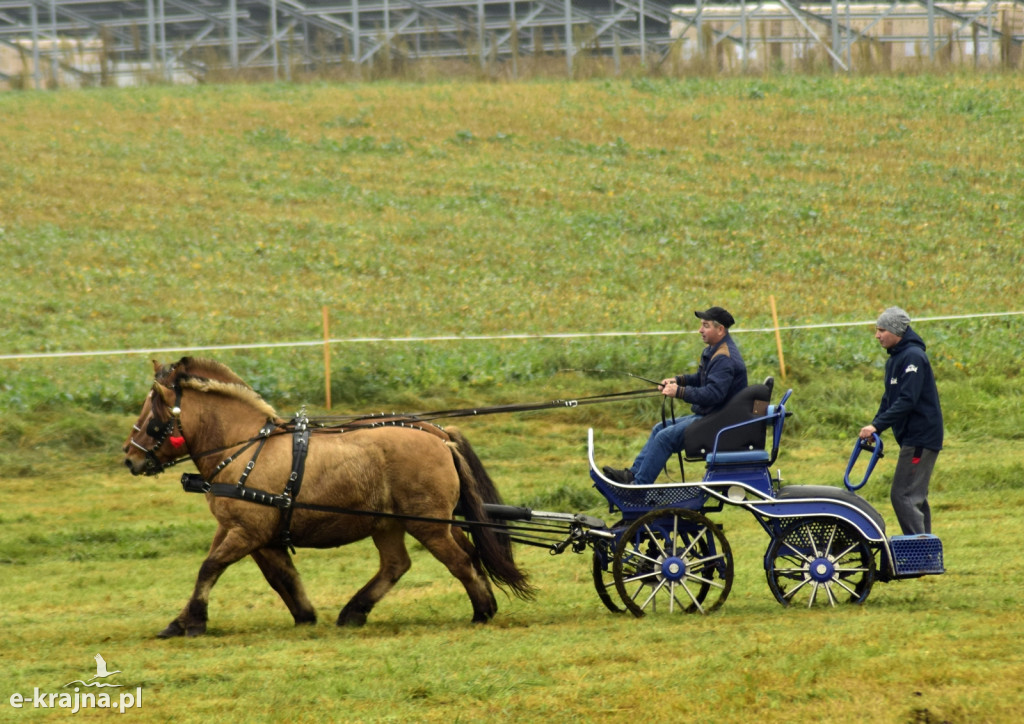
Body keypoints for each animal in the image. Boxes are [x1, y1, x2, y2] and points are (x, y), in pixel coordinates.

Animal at [123, 360, 532, 639]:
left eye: (152, 416)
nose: (130, 458)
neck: (245, 449)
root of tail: (439, 435)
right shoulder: (248, 533)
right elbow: (280, 576)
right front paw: (304, 614)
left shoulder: (247, 532)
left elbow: (210, 568)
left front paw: (193, 622)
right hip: (392, 523)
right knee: (403, 564)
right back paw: (355, 611)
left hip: (428, 524)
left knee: (460, 560)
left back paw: (482, 611)